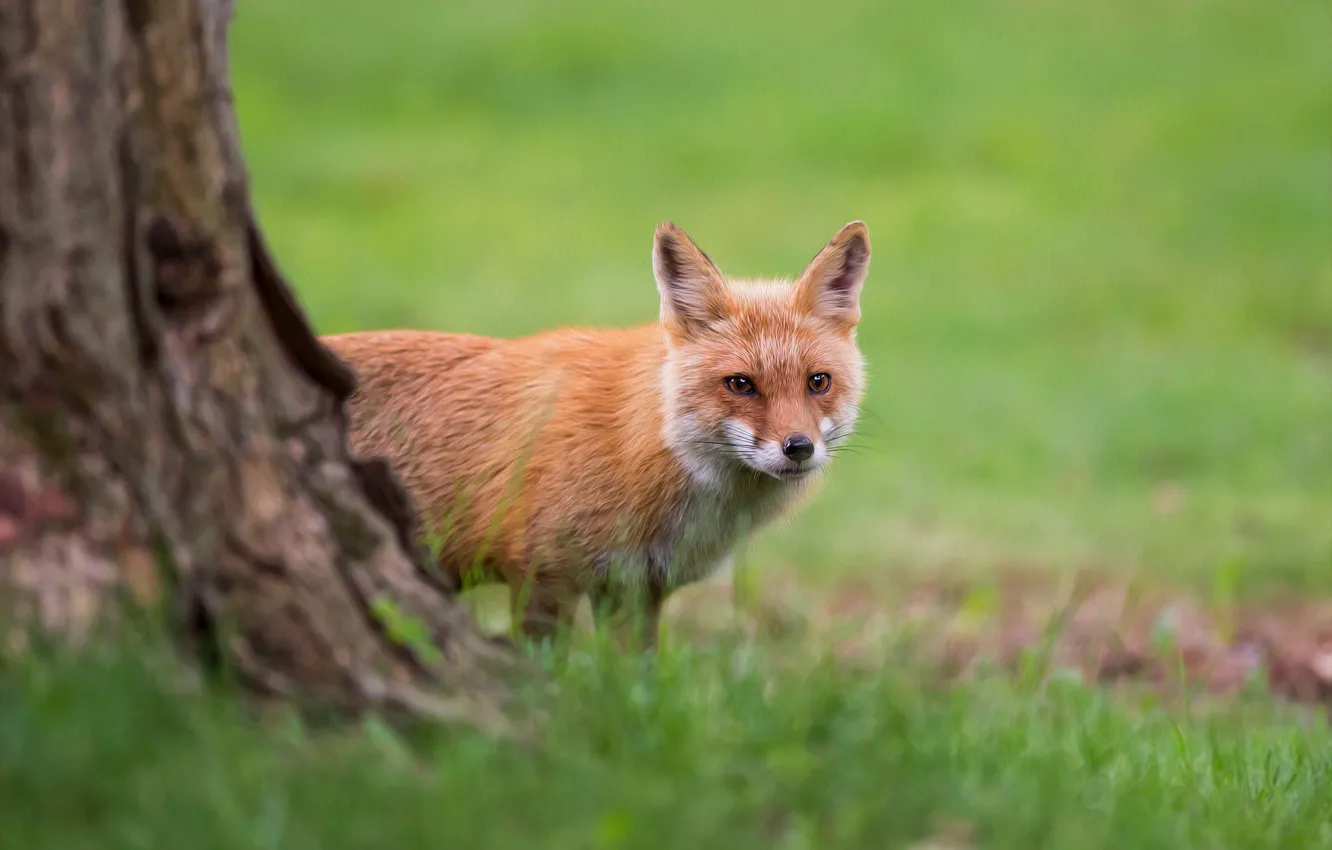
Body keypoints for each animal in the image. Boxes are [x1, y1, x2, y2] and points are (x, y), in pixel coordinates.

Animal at [322, 220, 871, 651]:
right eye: (740, 384)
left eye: (817, 382)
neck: (631, 443)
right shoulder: (543, 575)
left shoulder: (636, 589)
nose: (798, 448)